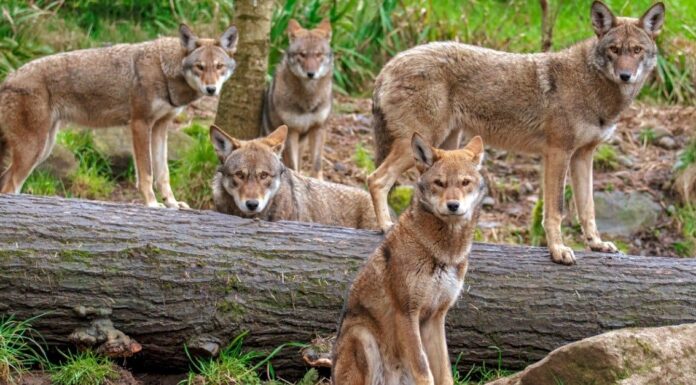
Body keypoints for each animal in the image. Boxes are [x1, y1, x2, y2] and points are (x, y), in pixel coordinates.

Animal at [0, 23, 239, 210]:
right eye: (200, 67)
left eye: (219, 67)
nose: (211, 89)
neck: (164, 70)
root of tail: (8, 78)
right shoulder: (140, 124)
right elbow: (146, 173)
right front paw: (152, 204)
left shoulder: (161, 127)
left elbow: (163, 174)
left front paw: (172, 204)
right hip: (34, 149)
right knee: (10, 186)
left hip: (43, 149)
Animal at [264, 18, 334, 179]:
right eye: (302, 55)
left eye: (318, 55)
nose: (311, 74)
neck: (308, 99)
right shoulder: (291, 131)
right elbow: (293, 166)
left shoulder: (318, 128)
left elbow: (317, 164)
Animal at [334, 135, 486, 384]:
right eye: (439, 183)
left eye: (465, 183)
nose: (453, 205)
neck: (444, 254)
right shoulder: (407, 313)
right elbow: (424, 370)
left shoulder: (436, 317)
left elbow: (444, 372)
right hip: (362, 335)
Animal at [368, 0, 668, 264]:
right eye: (615, 50)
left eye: (636, 50)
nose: (626, 76)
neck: (592, 86)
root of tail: (387, 66)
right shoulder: (558, 153)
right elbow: (556, 210)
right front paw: (558, 250)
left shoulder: (584, 155)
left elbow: (587, 207)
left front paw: (596, 244)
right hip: (421, 143)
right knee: (376, 179)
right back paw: (386, 226)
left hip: (445, 147)